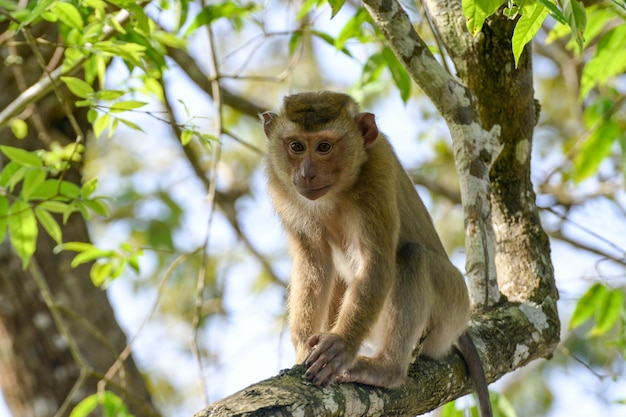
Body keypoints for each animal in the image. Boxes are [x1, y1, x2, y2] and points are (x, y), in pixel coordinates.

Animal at [260, 91, 490, 416]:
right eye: (296, 146)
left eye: (324, 147)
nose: (306, 174)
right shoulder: (282, 187)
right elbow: (313, 263)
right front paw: (304, 348)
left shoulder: (376, 174)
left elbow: (376, 263)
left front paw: (341, 346)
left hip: (453, 305)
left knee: (412, 258)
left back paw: (386, 370)